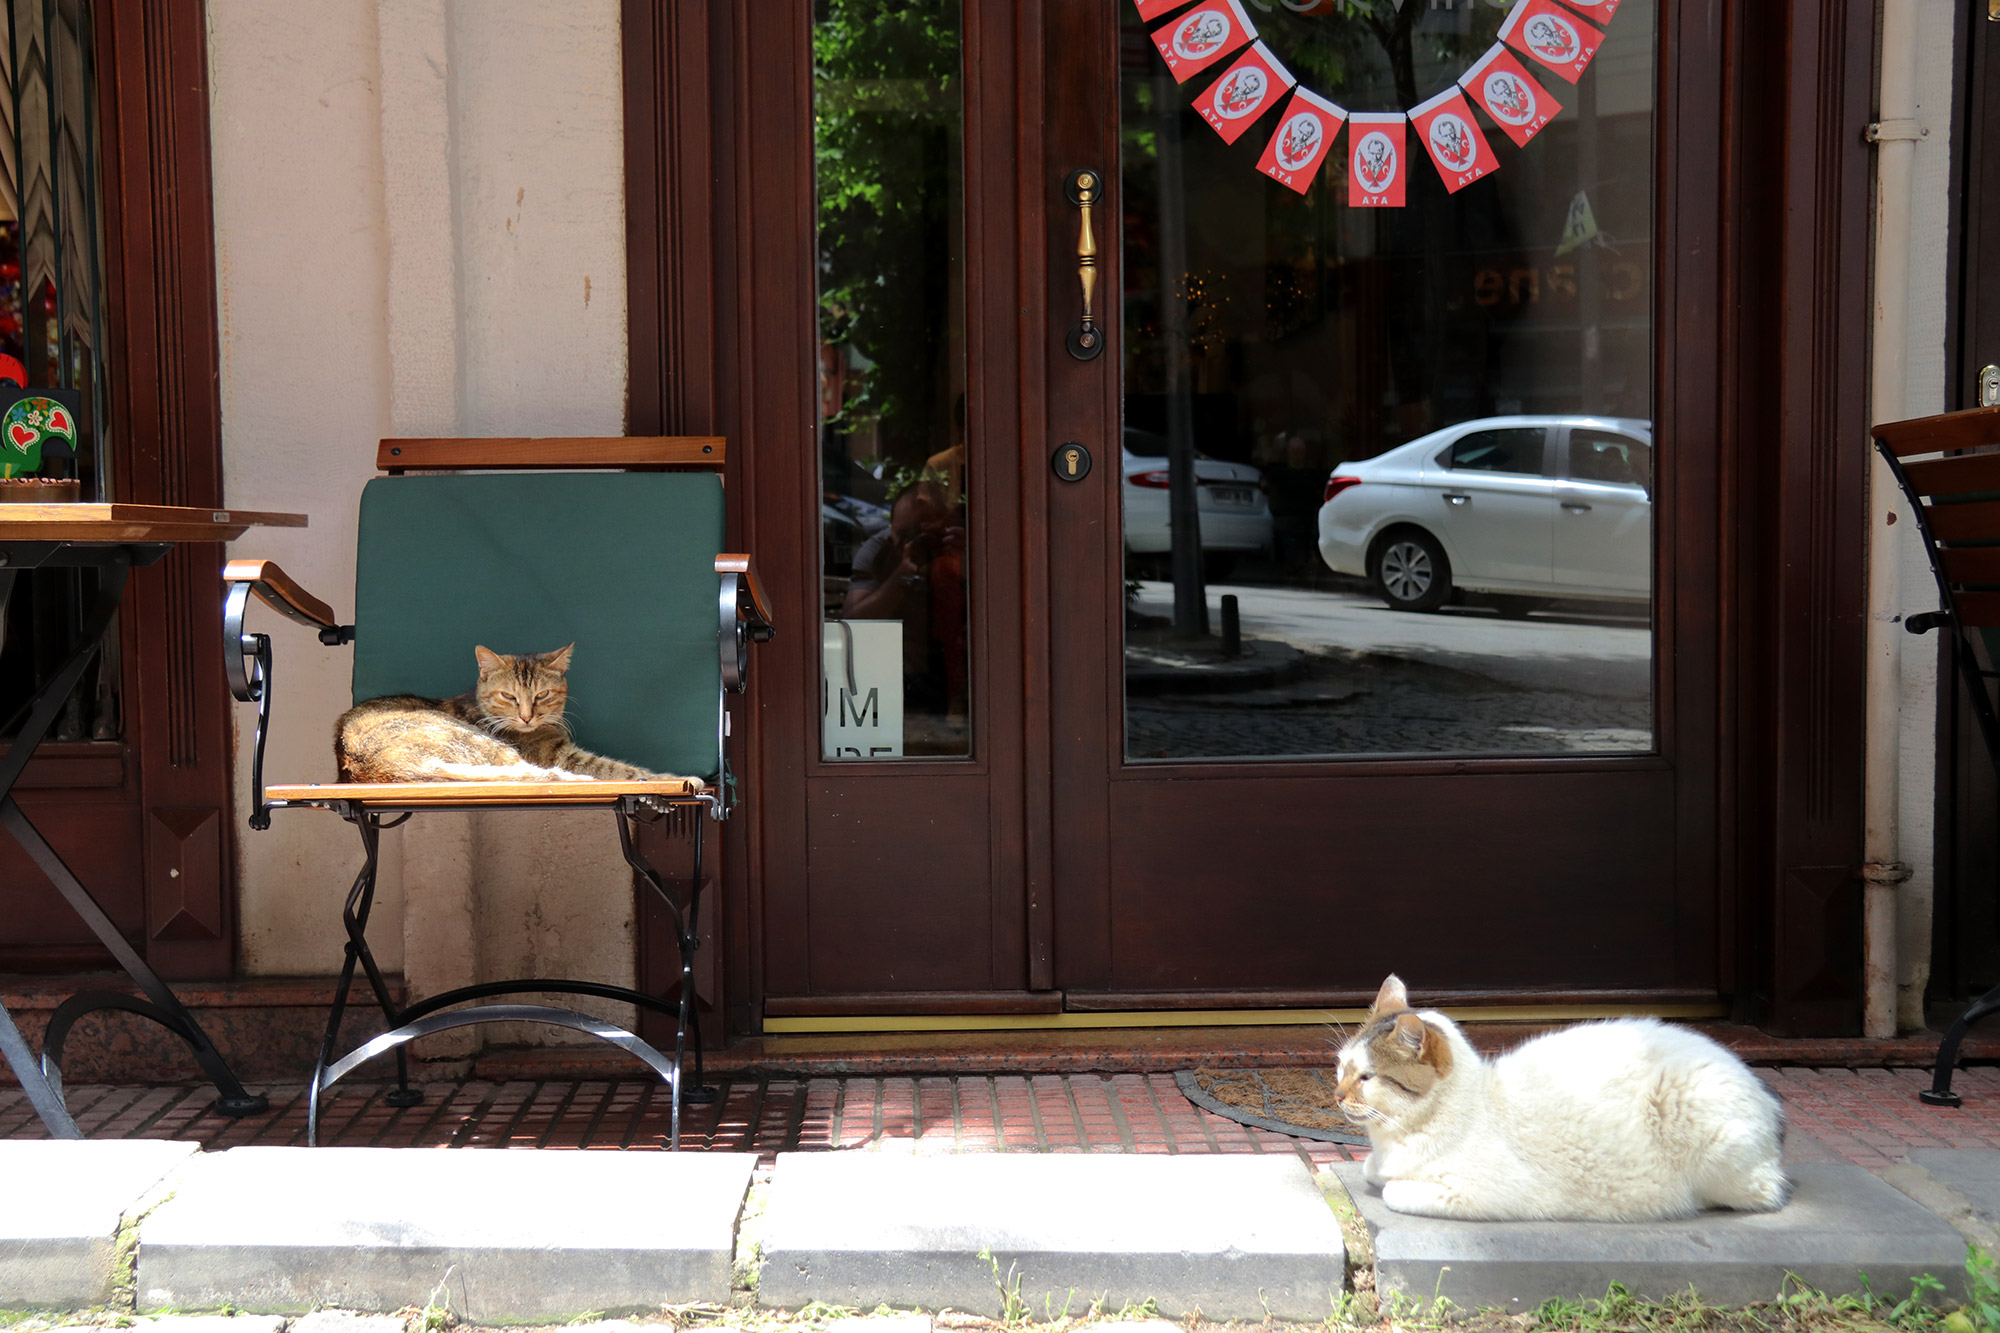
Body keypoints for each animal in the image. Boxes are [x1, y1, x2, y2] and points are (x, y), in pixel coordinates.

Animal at [332, 640, 668, 780]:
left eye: (542, 694)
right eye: (509, 696)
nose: (527, 717)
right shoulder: (559, 755)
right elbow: (617, 768)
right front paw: (665, 777)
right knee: (540, 775)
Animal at [1336, 972, 1792, 1216]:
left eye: (1367, 1078)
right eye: (1341, 1068)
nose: (1338, 1096)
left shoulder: (1486, 1192)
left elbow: (1393, 1189)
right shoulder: (1379, 1162)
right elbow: (1371, 1169)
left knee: (1762, 1192)